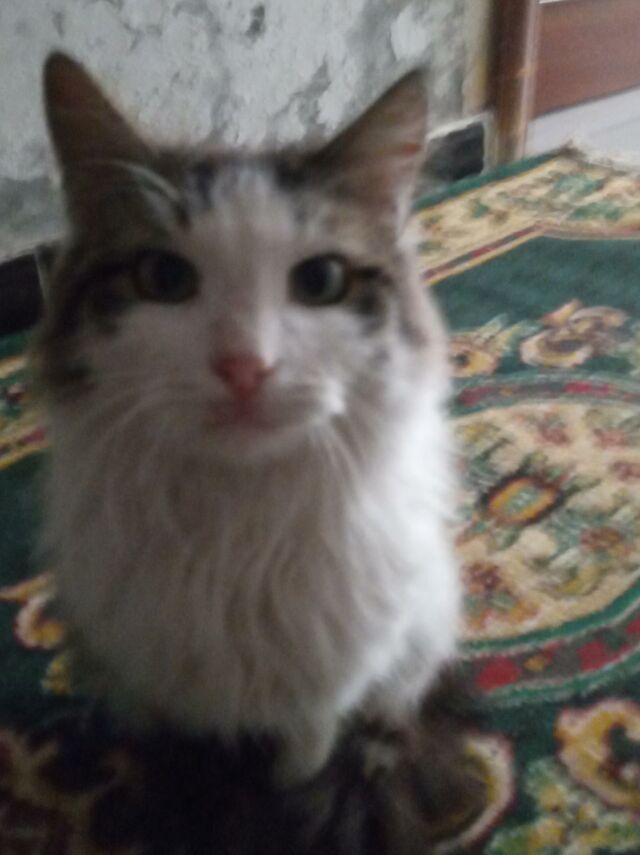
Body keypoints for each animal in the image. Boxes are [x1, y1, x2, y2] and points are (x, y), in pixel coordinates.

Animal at [34, 52, 461, 787]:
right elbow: (160, 746)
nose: (244, 366)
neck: (233, 529)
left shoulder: (329, 680)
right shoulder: (139, 676)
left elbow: (306, 750)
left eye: (319, 282)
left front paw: (292, 788)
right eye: (164, 278)